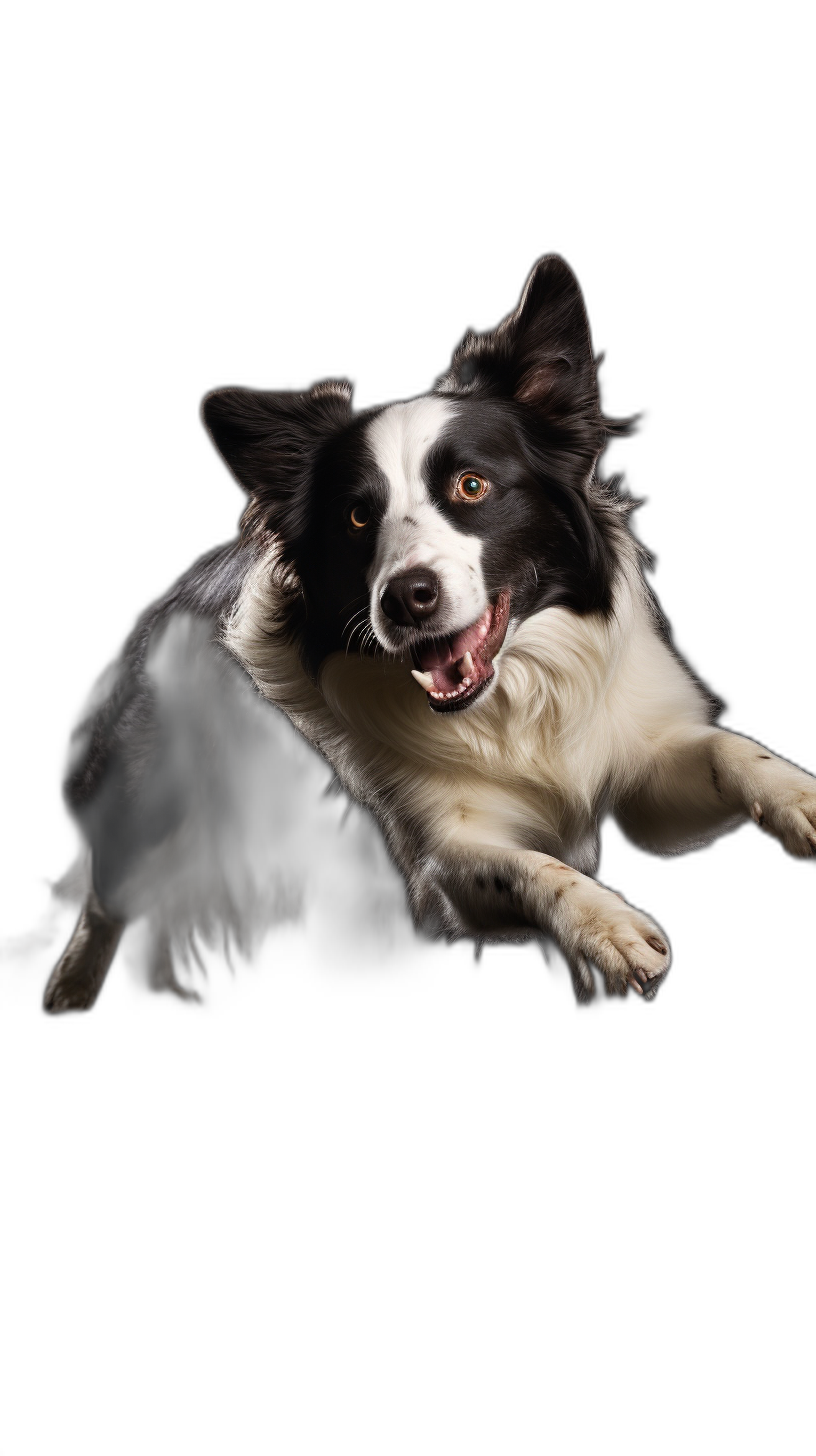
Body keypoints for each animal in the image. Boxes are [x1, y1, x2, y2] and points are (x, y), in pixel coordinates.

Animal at [46, 259, 816, 1013]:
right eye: (357, 518)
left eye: (472, 486)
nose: (406, 600)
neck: (512, 703)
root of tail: (155, 611)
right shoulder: (442, 857)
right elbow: (534, 867)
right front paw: (606, 928)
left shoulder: (643, 772)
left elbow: (730, 751)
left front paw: (804, 799)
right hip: (148, 801)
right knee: (110, 898)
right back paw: (73, 990)